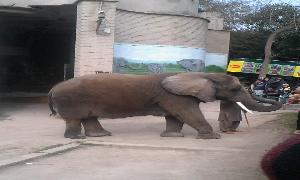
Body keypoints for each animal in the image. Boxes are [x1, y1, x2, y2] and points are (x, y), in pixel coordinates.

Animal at [47, 73, 282, 139]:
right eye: (235, 89)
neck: (203, 75)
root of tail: (52, 89)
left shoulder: (175, 98)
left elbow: (175, 117)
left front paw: (173, 136)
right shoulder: (177, 97)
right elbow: (188, 113)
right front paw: (213, 137)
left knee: (89, 118)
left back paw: (101, 135)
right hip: (71, 101)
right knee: (75, 119)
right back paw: (77, 139)